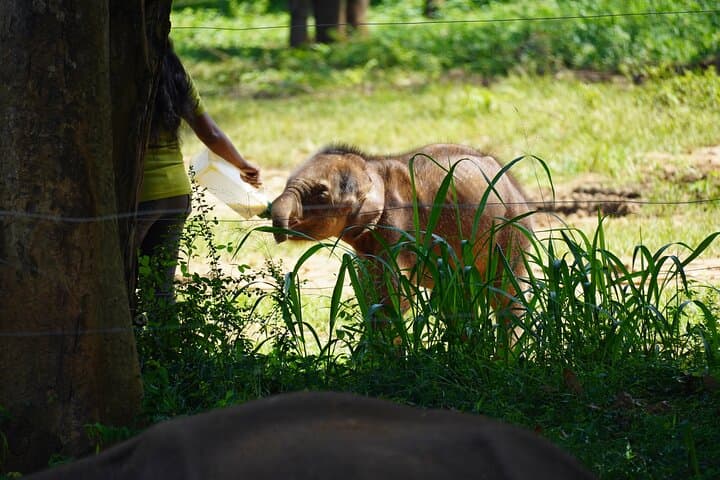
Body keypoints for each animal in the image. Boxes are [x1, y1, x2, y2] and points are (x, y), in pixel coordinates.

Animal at [270, 143, 534, 325]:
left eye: (321, 194)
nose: (277, 231)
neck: (373, 167)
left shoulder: (398, 226)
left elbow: (395, 294)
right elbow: (368, 286)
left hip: (512, 229)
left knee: (506, 293)